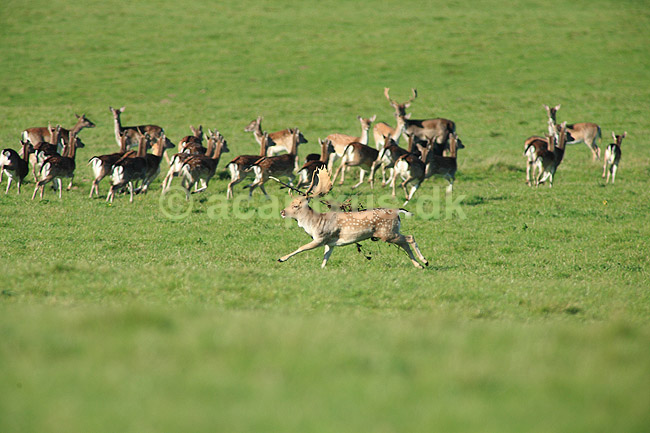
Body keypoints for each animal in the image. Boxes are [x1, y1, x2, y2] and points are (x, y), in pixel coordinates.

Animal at [274, 168, 429, 269]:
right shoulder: (330, 243)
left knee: (410, 238)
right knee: (405, 242)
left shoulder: (321, 237)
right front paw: (322, 269)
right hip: (392, 231)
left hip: (386, 232)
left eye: (295, 205)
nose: (282, 211)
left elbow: (301, 247)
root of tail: (397, 211)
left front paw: (281, 259)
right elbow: (325, 258)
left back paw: (424, 261)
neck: (315, 223)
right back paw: (419, 265)